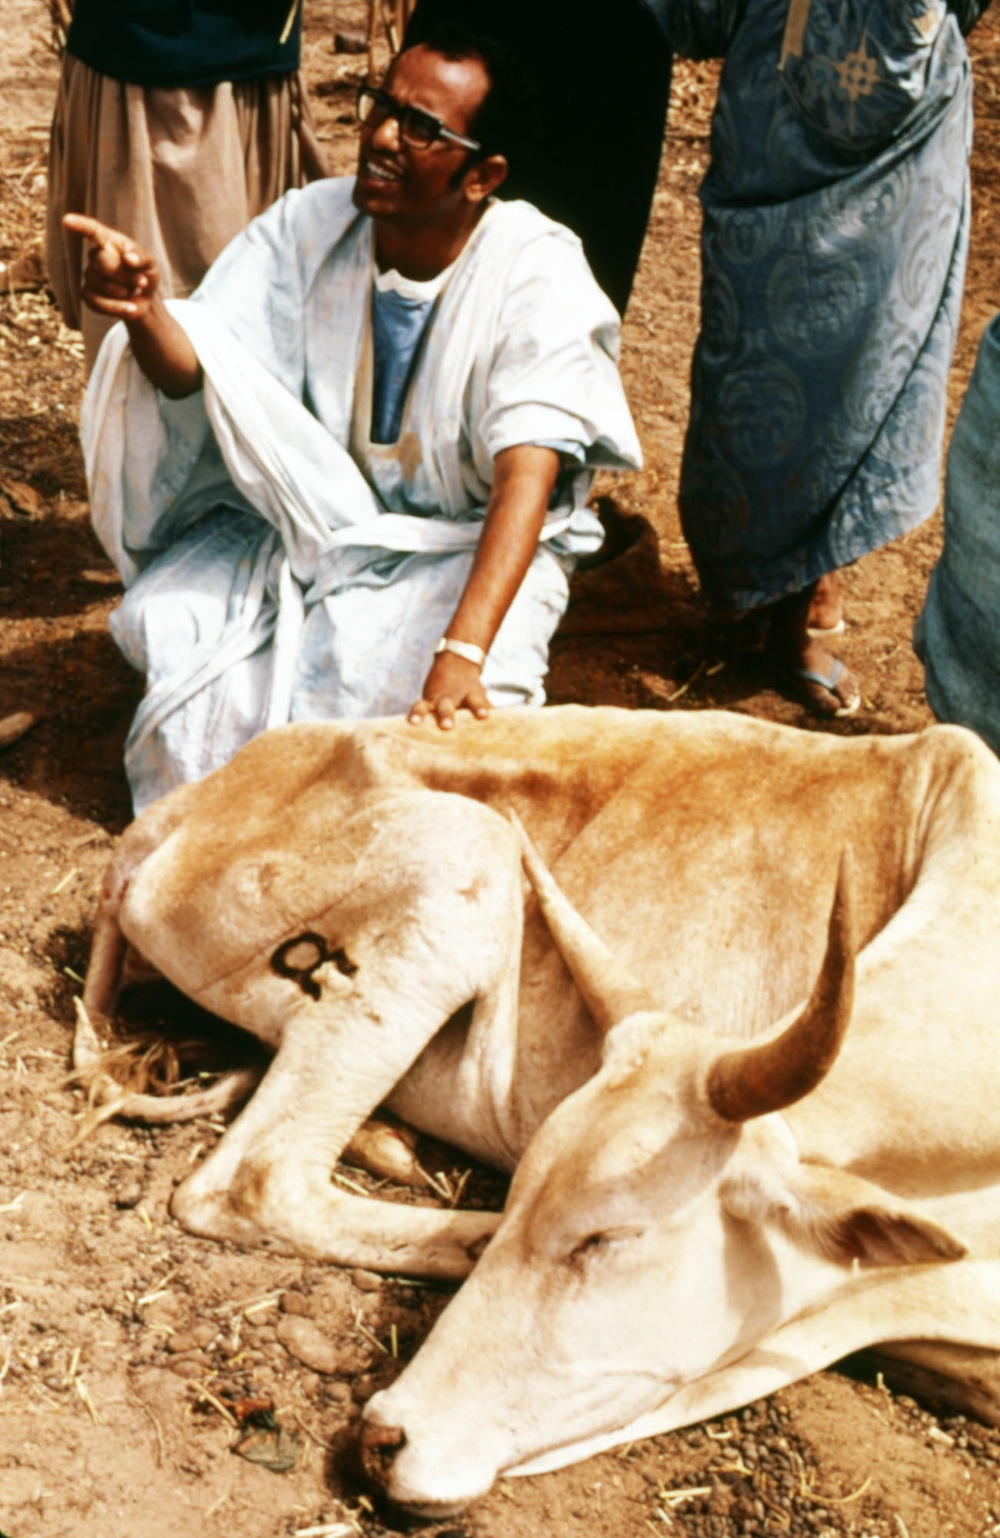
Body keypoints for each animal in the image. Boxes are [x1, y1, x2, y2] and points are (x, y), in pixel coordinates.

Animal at [80, 707, 1000, 1513]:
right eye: (525, 1186)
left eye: (609, 1237)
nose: (384, 1439)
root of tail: (155, 824)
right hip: (466, 857)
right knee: (254, 1181)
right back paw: (461, 1231)